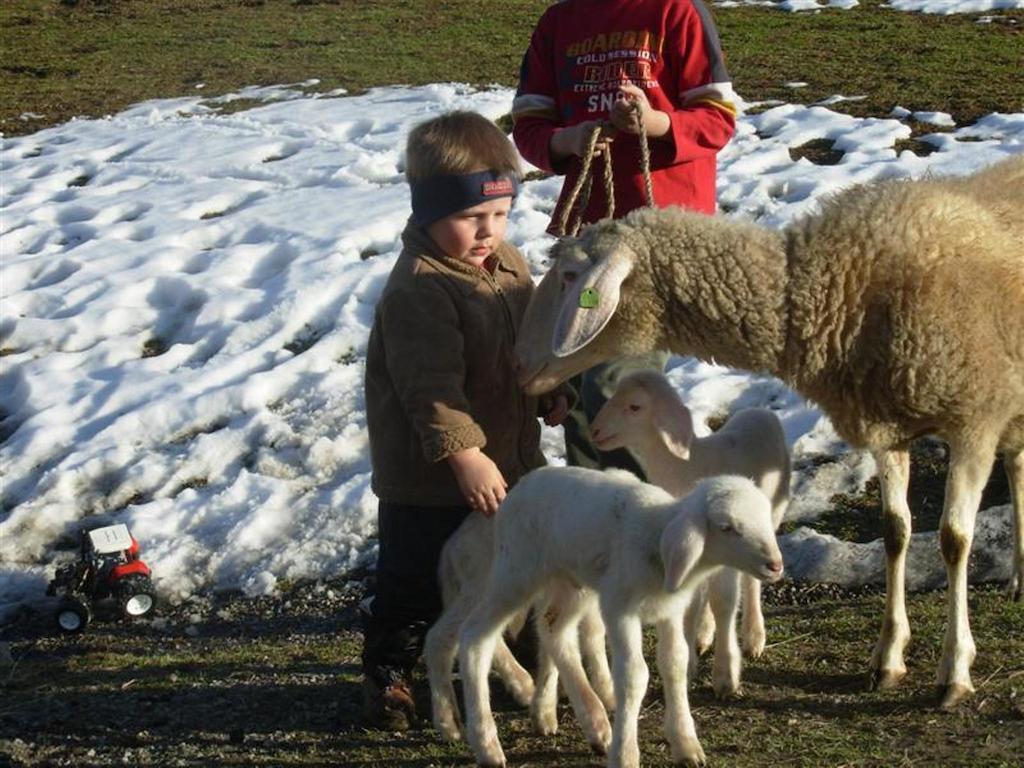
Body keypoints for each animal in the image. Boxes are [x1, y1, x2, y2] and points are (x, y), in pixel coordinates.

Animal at [456, 468, 782, 768]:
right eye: (727, 527)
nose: (776, 565)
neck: (656, 537)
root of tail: (521, 484)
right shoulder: (619, 608)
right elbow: (633, 675)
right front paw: (625, 754)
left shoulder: (671, 611)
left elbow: (675, 663)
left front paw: (686, 743)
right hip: (516, 571)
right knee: (474, 636)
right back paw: (487, 744)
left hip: (572, 582)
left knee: (552, 628)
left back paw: (593, 722)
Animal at [589, 368, 786, 696]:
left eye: (635, 406)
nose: (594, 431)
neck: (685, 466)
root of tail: (760, 411)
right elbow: (691, 600)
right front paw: (692, 658)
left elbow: (724, 601)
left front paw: (725, 673)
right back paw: (704, 633)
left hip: (773, 513)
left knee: (751, 583)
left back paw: (753, 635)